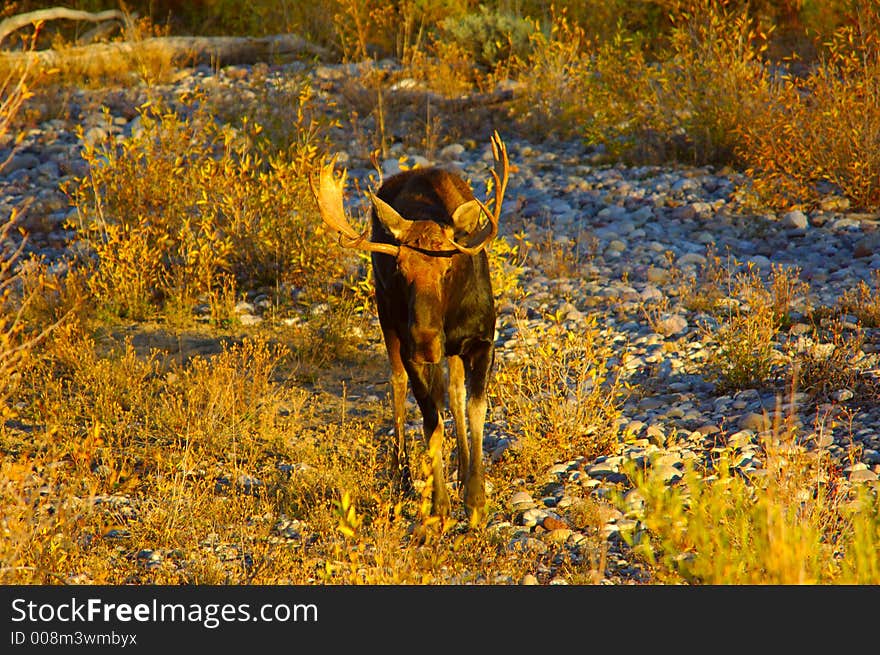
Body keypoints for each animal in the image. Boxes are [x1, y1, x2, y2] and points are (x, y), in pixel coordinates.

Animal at [312, 131, 508, 524]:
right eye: (401, 269)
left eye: (448, 268)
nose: (425, 340)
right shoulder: (412, 349)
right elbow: (432, 422)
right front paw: (440, 506)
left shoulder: (482, 340)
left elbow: (474, 410)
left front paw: (475, 499)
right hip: (388, 320)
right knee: (398, 383)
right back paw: (402, 475)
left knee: (454, 391)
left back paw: (461, 470)